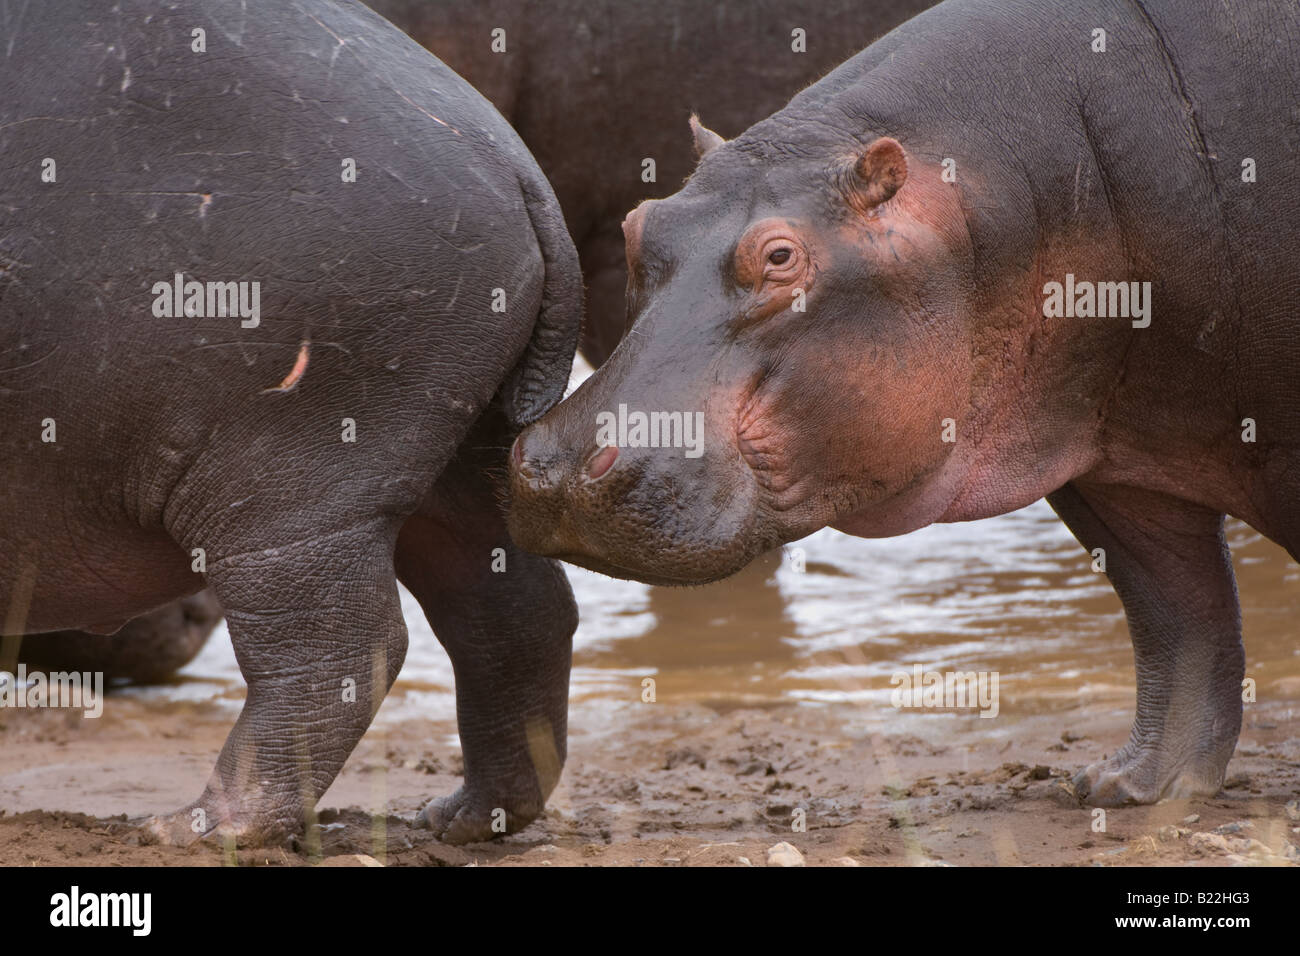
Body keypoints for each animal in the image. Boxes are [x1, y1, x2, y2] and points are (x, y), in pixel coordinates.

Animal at [0, 0, 579, 842]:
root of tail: (513, 165)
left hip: (285, 486)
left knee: (333, 645)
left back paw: (199, 828)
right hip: (457, 454)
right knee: (514, 607)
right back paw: (463, 818)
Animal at [512, 0, 1300, 806]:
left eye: (780, 256)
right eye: (639, 223)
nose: (555, 468)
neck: (976, 195)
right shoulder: (1094, 446)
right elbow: (1175, 609)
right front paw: (1130, 788)